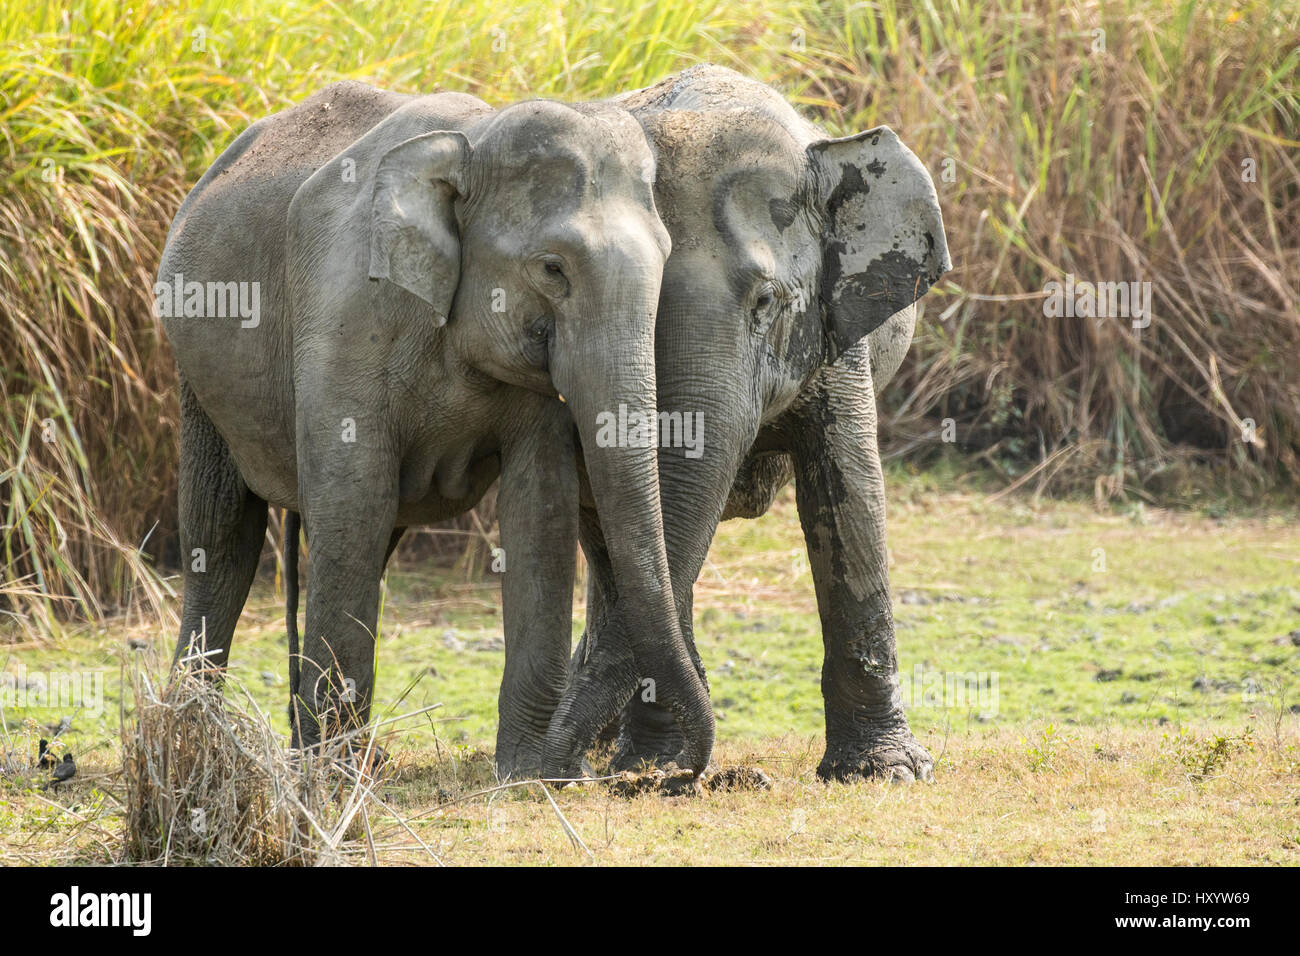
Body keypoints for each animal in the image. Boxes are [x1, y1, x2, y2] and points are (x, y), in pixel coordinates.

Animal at [159, 82, 722, 780]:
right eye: (552, 268)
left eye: (667, 258)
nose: (676, 778)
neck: (472, 141)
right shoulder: (344, 317)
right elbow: (352, 502)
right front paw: (332, 779)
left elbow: (540, 510)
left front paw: (529, 776)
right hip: (194, 363)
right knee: (223, 536)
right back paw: (196, 738)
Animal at [569, 69, 956, 785]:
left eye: (768, 303)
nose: (690, 777)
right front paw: (657, 764)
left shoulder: (837, 327)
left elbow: (851, 491)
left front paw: (887, 772)